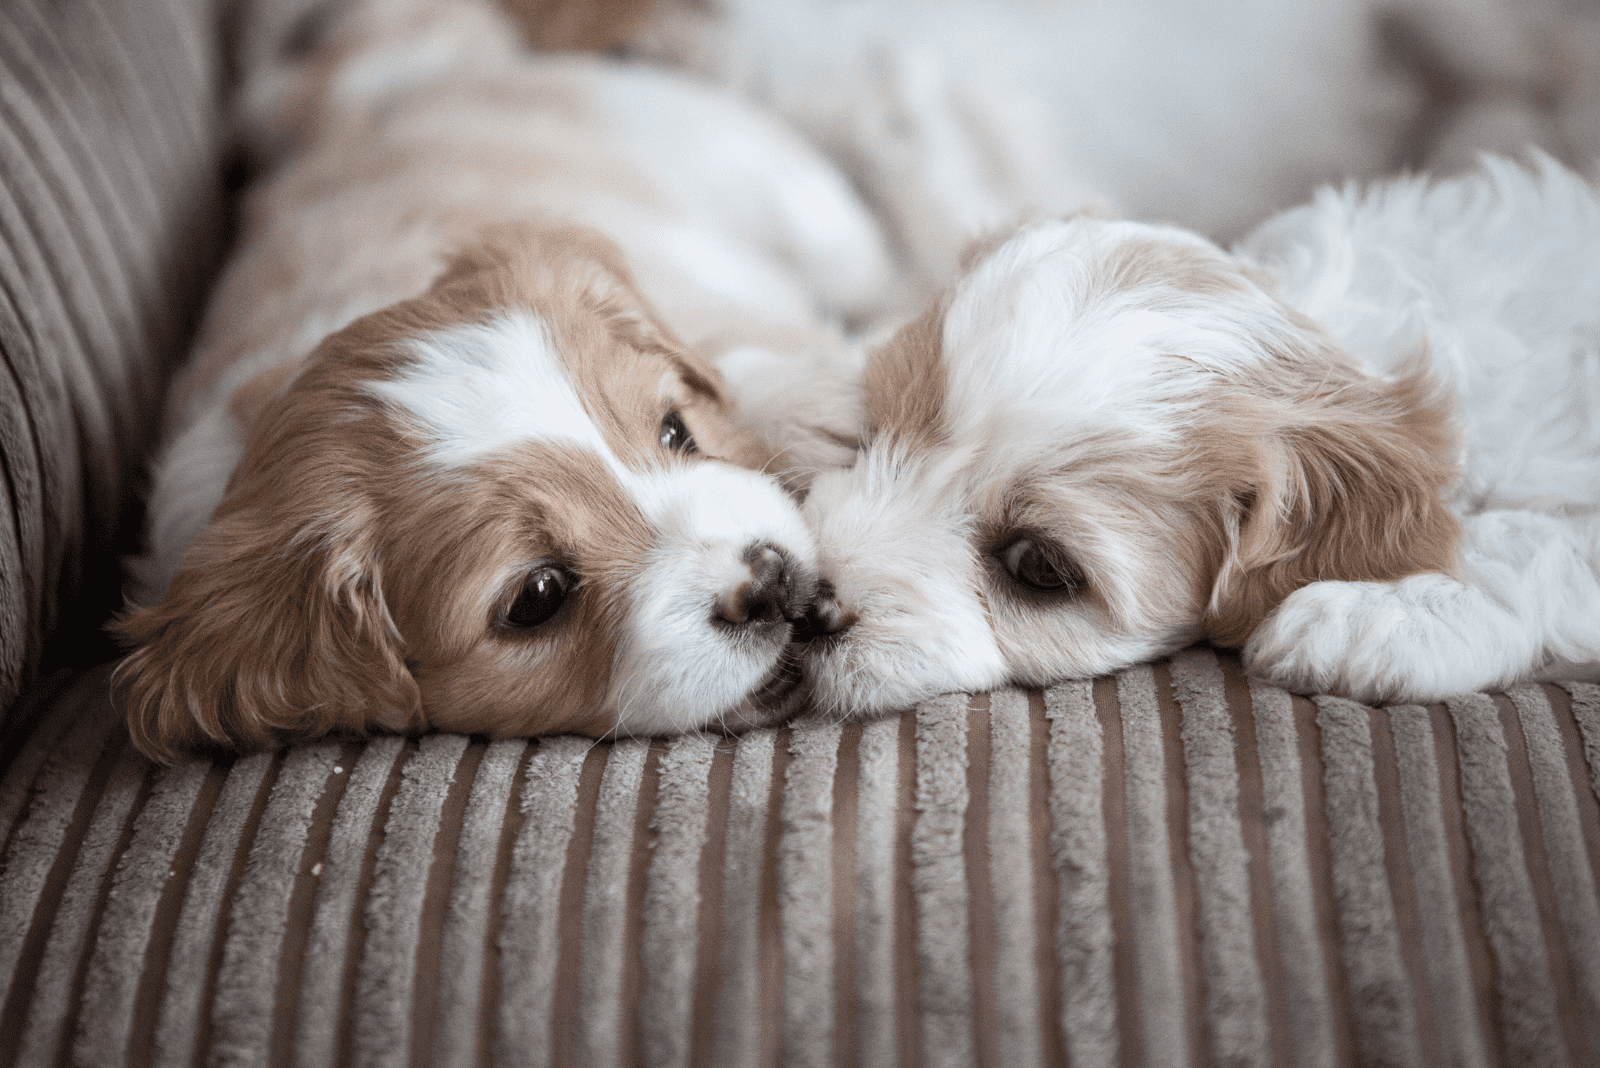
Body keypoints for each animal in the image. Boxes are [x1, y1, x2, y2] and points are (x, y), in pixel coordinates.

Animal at [116, 0, 902, 757]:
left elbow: (742, 351)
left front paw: (828, 413)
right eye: (538, 595)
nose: (769, 580)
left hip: (801, 210)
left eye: (676, 432)